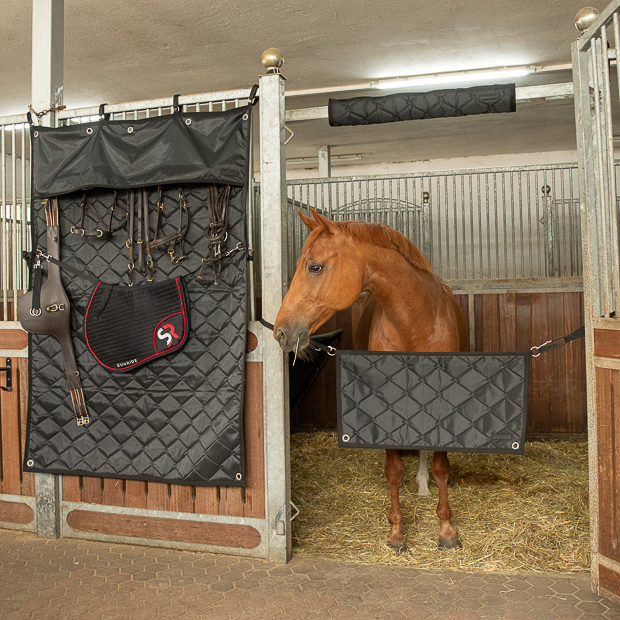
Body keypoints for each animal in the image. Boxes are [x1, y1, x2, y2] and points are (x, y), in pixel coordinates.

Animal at [274, 209, 468, 552]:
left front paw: (446, 529)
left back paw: (422, 484)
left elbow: (441, 466)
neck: (417, 321)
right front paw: (397, 532)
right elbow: (393, 470)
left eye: (314, 267)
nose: (281, 332)